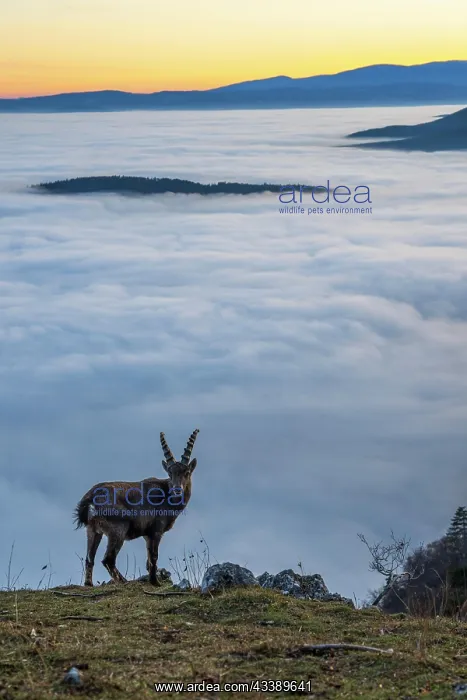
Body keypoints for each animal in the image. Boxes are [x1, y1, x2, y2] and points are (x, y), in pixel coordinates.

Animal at [74, 429, 199, 586]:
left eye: (186, 472)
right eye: (170, 473)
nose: (177, 489)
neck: (166, 495)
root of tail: (90, 497)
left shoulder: (146, 534)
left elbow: (148, 560)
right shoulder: (156, 531)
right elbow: (154, 557)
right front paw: (155, 582)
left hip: (93, 530)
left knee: (89, 558)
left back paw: (89, 584)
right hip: (118, 529)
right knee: (108, 559)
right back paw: (124, 581)